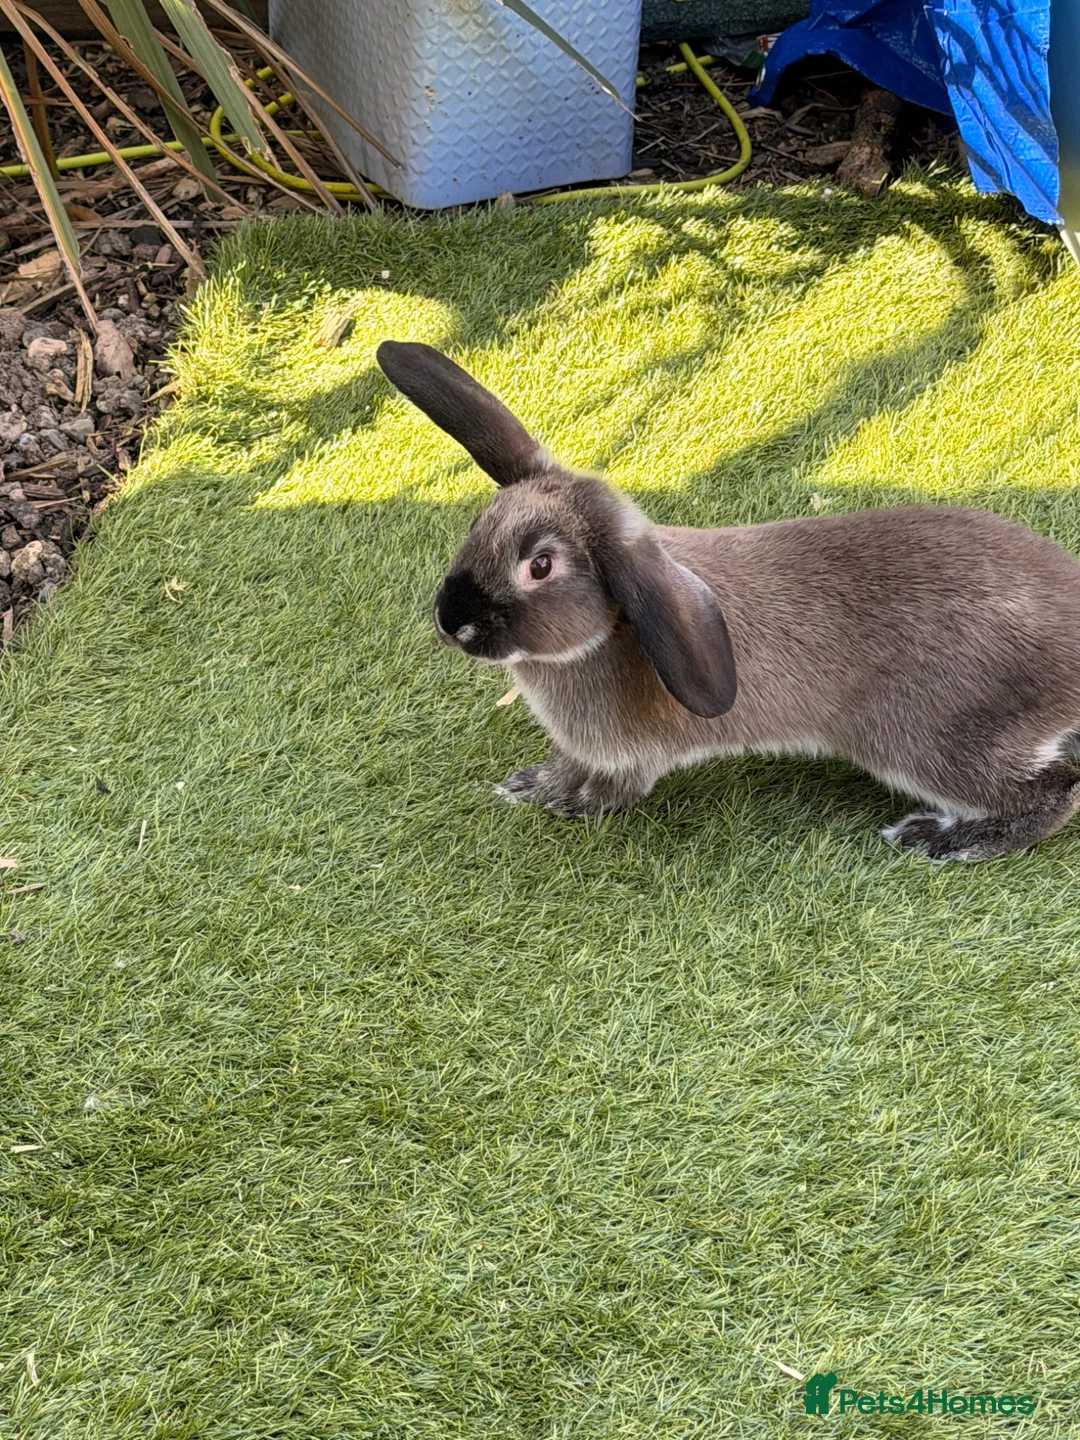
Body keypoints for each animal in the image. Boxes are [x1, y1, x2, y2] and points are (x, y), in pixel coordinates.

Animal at [376, 340, 1080, 863]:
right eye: (478, 524)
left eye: (540, 566)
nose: (450, 622)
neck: (605, 635)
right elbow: (560, 765)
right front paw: (528, 786)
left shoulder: (629, 755)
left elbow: (609, 789)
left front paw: (566, 805)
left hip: (930, 740)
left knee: (1054, 792)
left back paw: (942, 839)